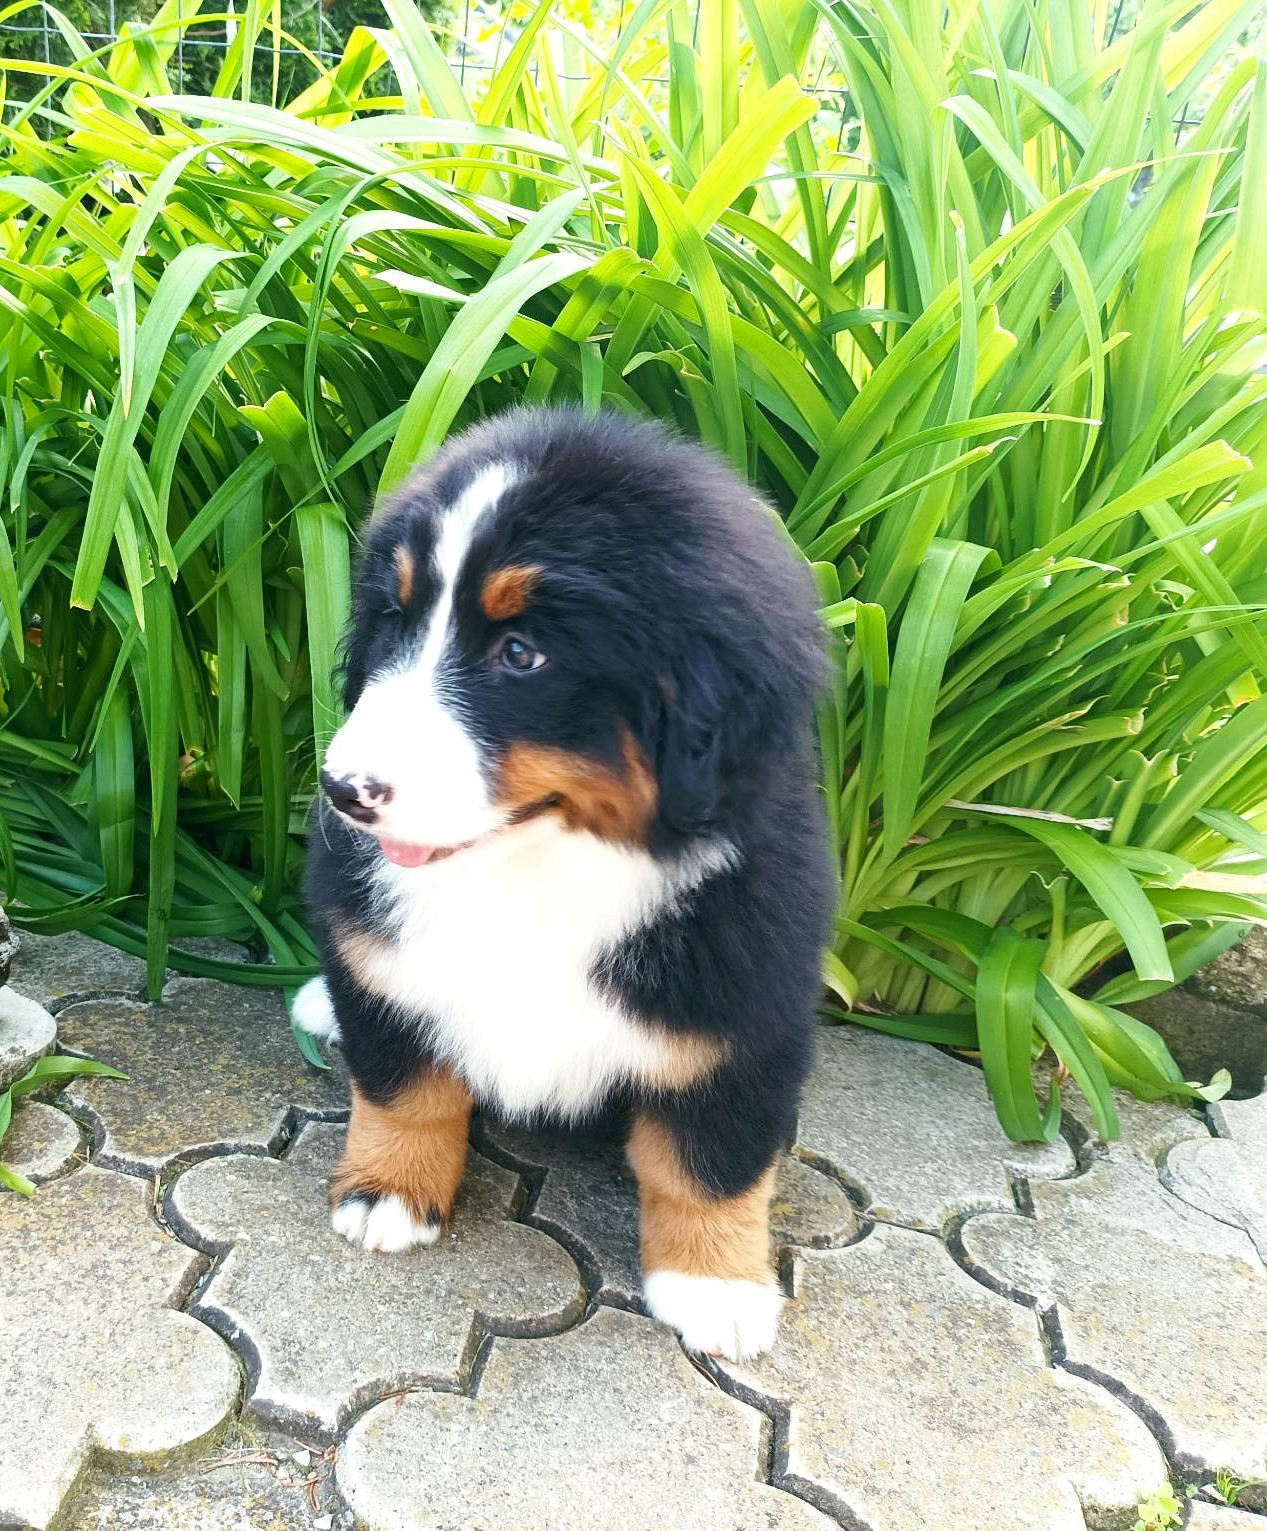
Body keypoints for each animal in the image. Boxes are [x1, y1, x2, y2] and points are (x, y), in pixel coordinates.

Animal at [296, 407, 833, 1361]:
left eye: (521, 654)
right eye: (393, 621)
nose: (344, 791)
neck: (535, 869)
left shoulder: (744, 1008)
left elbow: (710, 1158)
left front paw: (716, 1285)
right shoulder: (372, 941)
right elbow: (403, 1080)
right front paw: (389, 1189)